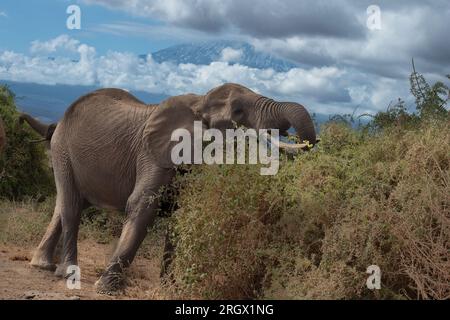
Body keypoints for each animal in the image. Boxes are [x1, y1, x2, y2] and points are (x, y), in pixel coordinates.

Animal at [20, 84, 316, 294]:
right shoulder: (152, 155)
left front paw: (169, 289)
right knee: (71, 207)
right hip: (62, 150)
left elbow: (180, 216)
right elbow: (142, 206)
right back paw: (68, 274)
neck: (198, 102)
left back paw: (43, 265)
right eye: (238, 112)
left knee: (65, 206)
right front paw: (105, 288)